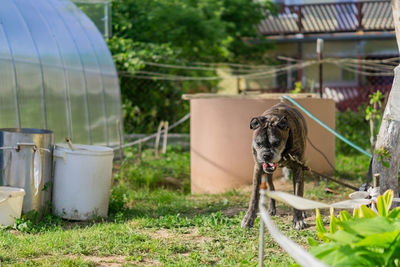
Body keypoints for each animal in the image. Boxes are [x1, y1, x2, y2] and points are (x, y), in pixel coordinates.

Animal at [241, 102, 306, 230]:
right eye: (258, 143)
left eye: (276, 143)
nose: (266, 155)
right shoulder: (258, 169)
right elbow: (254, 196)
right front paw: (249, 218)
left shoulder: (298, 169)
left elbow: (298, 193)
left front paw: (298, 219)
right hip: (267, 174)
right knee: (271, 186)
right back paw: (271, 208)